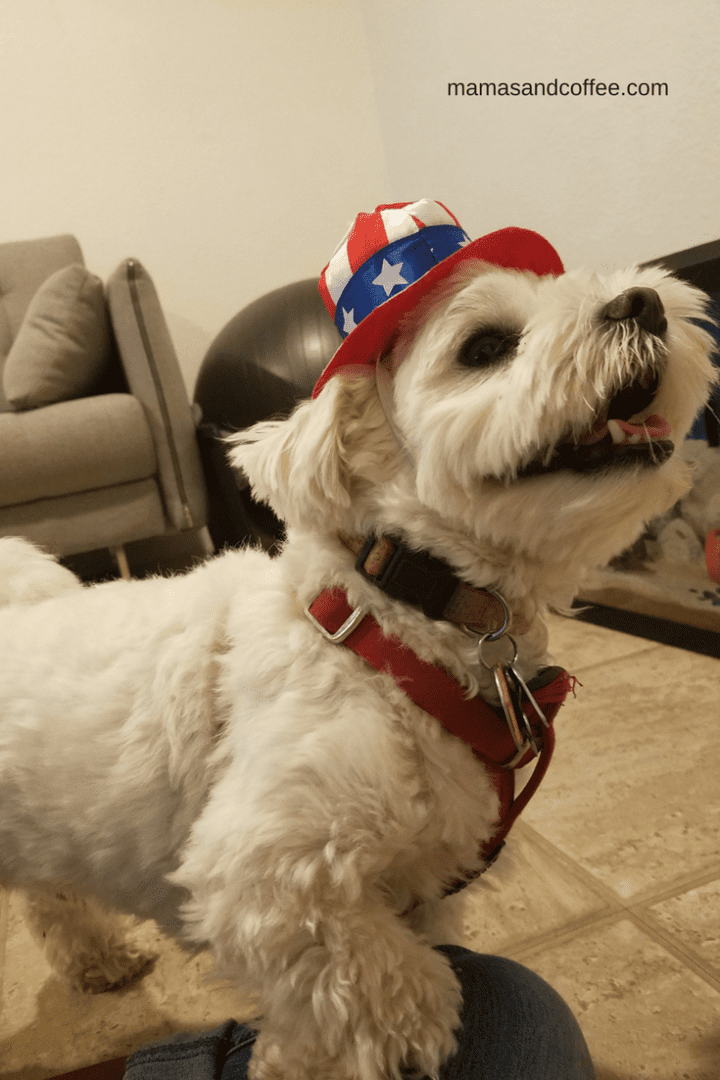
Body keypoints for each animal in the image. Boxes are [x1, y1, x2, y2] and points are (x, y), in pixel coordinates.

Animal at [0, 203, 716, 1080]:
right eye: (485, 347)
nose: (643, 303)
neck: (400, 617)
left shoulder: (414, 876)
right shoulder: (267, 874)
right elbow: (372, 982)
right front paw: (371, 1041)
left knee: (51, 901)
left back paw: (99, 960)